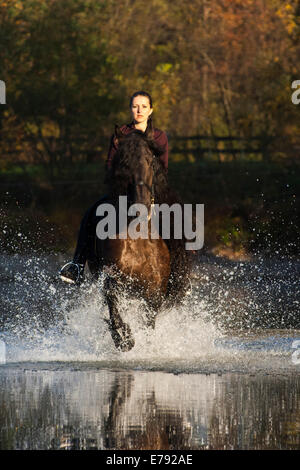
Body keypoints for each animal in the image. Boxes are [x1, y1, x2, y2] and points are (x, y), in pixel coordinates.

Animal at [86, 126, 191, 350]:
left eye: (151, 161)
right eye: (125, 163)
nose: (141, 206)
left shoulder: (154, 293)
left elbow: (148, 323)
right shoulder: (111, 279)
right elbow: (113, 306)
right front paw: (124, 339)